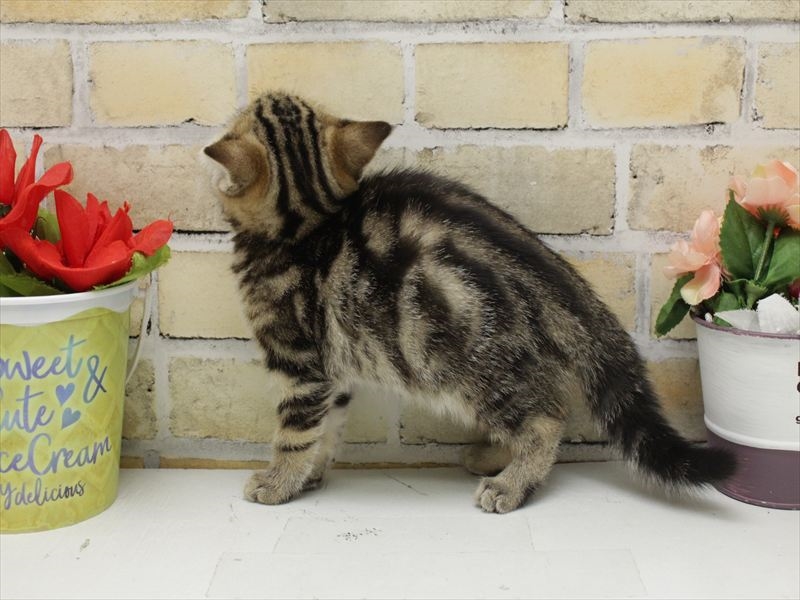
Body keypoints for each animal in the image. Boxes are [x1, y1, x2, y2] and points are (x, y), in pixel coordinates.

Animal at [202, 91, 736, 513]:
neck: (306, 220)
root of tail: (561, 282)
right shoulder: (334, 370)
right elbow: (326, 430)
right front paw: (311, 474)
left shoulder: (301, 366)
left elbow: (295, 434)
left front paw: (278, 482)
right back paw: (494, 458)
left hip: (469, 369)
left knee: (546, 419)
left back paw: (511, 484)